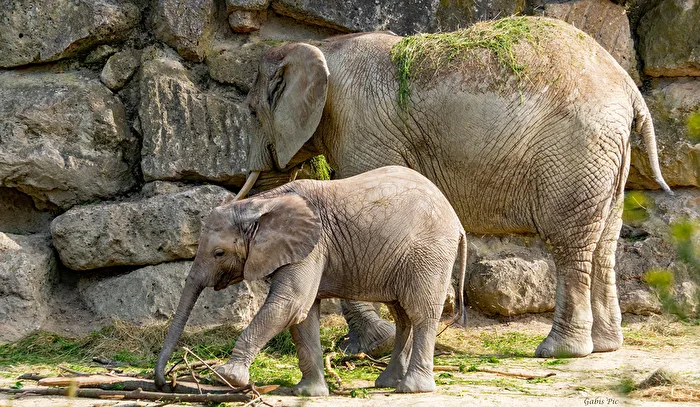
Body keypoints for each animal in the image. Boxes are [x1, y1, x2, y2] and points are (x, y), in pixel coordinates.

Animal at [154, 166, 468, 395]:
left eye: (219, 253)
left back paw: (413, 389)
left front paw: (225, 377)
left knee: (421, 312)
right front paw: (308, 393)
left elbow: (290, 304)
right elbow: (303, 316)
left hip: (429, 253)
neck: (262, 202)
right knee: (402, 315)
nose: (165, 383)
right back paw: (388, 384)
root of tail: (457, 221)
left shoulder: (314, 245)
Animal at [233, 16, 671, 359]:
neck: (321, 46)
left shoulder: (362, 128)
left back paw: (559, 351)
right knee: (605, 241)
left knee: (570, 242)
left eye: (252, 112)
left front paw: (372, 346)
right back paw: (606, 346)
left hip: (577, 147)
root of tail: (628, 88)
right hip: (608, 153)